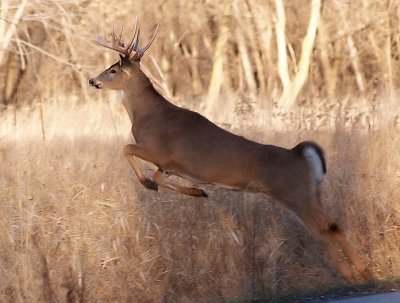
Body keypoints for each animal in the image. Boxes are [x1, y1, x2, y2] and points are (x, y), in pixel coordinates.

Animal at [88, 20, 372, 284]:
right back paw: (363, 272)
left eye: (113, 70)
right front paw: (197, 192)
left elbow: (127, 149)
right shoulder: (169, 166)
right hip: (312, 193)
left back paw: (349, 275)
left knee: (322, 231)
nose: (92, 80)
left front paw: (151, 184)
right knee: (334, 225)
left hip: (295, 194)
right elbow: (161, 178)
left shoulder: (159, 152)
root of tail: (299, 154)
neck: (146, 115)